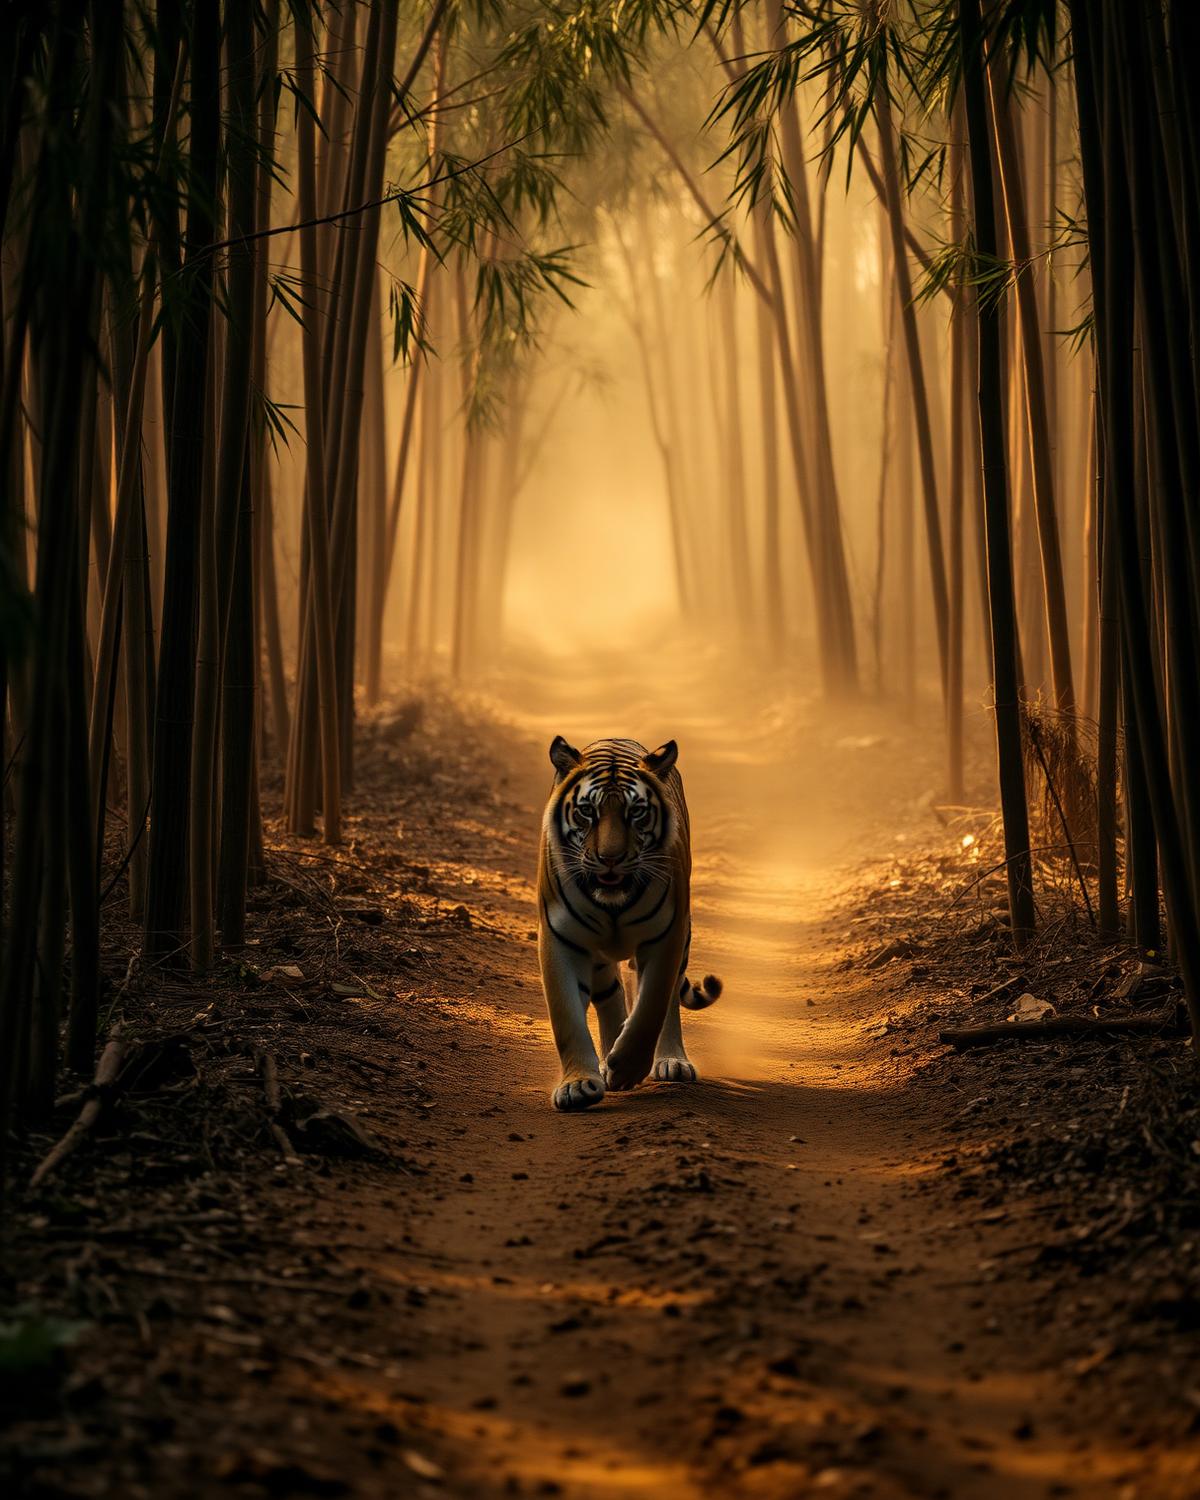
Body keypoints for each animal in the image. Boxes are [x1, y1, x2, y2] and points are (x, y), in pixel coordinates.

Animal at [537, 734, 722, 1112]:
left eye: (636, 812)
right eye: (586, 811)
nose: (610, 858)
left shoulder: (667, 936)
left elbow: (651, 1006)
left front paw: (626, 1068)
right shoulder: (559, 938)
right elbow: (567, 1018)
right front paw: (578, 1084)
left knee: (665, 1001)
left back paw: (669, 1062)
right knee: (611, 993)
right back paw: (606, 1059)